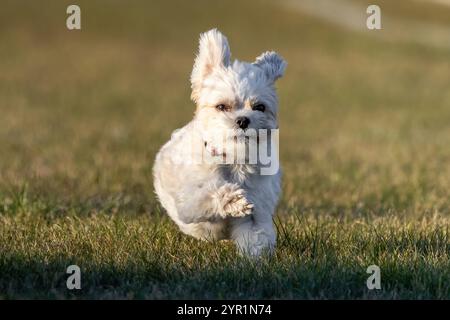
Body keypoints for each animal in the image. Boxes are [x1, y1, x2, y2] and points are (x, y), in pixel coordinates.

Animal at [151, 28, 284, 256]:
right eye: (221, 106)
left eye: (259, 107)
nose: (242, 120)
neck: (234, 159)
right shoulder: (189, 200)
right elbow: (208, 193)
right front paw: (234, 200)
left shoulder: (257, 210)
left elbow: (255, 235)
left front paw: (255, 258)